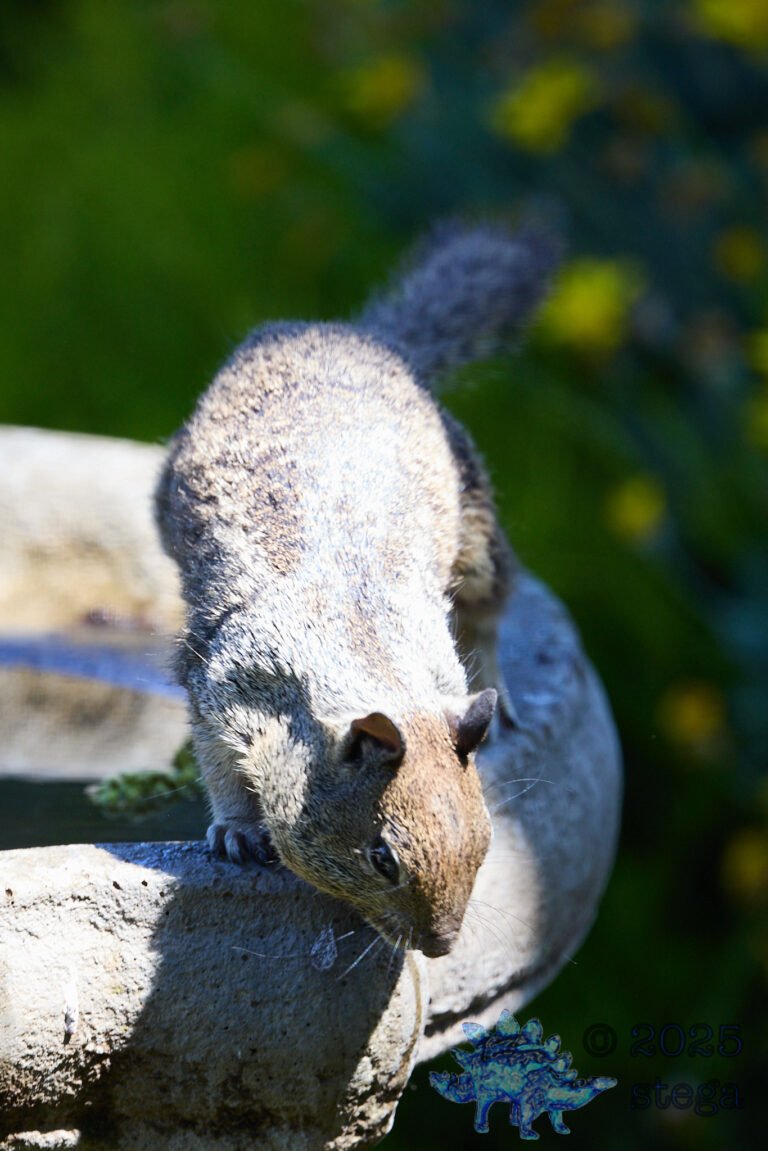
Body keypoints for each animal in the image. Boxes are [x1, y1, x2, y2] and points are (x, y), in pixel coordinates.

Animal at [154, 221, 558, 958]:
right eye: (381, 858)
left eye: (485, 845)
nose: (442, 946)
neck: (367, 656)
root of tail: (355, 338)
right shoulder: (216, 682)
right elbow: (218, 762)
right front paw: (237, 828)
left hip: (478, 535)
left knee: (488, 616)